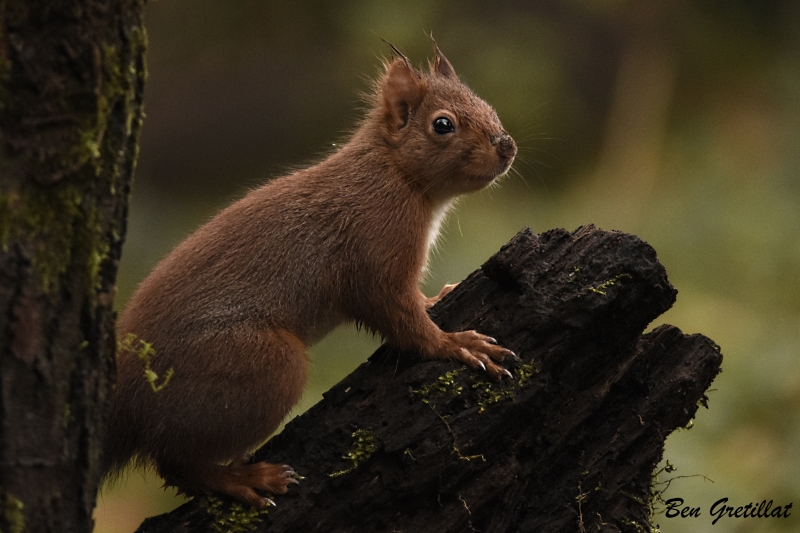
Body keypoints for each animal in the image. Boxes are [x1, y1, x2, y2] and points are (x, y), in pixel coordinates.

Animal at [103, 40, 516, 502]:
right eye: (442, 125)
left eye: (486, 105)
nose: (506, 145)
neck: (393, 173)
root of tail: (128, 397)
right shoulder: (375, 250)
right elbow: (399, 316)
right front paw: (453, 344)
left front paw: (437, 297)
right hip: (260, 367)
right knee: (177, 463)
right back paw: (243, 480)